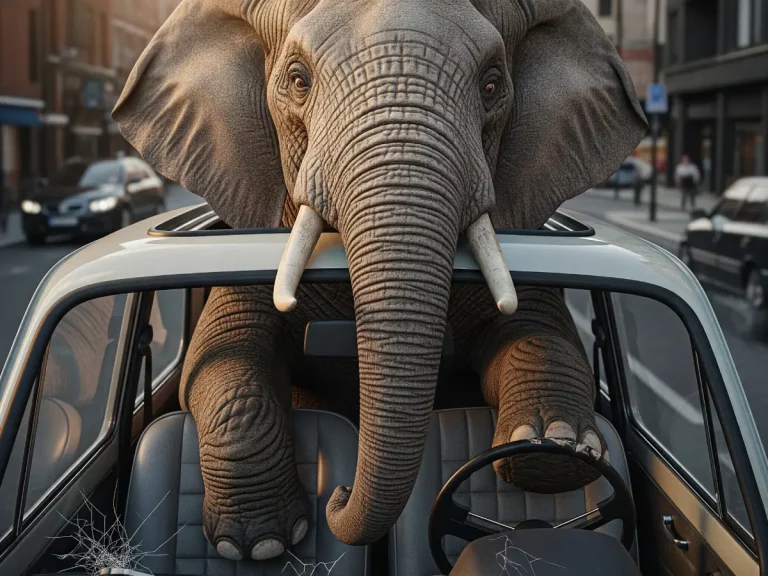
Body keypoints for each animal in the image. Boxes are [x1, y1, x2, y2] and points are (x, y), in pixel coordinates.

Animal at [112, 0, 647, 562]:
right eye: (298, 80)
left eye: (492, 85)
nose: (339, 492)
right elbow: (220, 357)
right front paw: (259, 546)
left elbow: (542, 335)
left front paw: (556, 444)